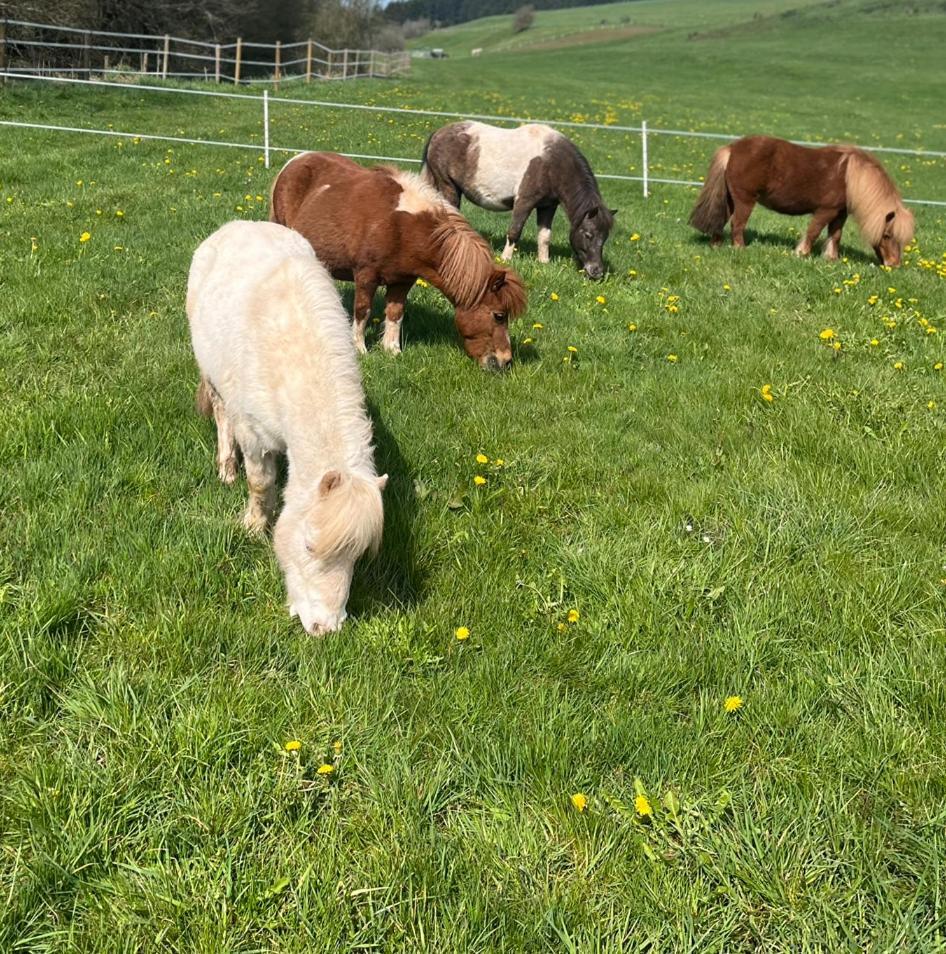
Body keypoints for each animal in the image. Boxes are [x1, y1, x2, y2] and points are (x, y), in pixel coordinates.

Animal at [186, 220, 386, 636]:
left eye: (356, 557)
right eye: (309, 546)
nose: (326, 627)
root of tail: (235, 225)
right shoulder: (253, 435)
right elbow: (260, 484)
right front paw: (253, 525)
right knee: (221, 414)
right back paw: (227, 467)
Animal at [270, 152, 528, 368]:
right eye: (499, 315)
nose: (506, 361)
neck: (404, 228)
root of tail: (294, 162)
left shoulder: (402, 281)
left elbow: (395, 313)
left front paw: (392, 350)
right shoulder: (366, 275)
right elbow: (362, 311)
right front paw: (360, 349)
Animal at [422, 121, 616, 278]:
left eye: (605, 237)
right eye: (588, 234)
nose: (597, 272)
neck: (552, 162)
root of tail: (438, 133)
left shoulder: (548, 206)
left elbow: (544, 236)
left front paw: (543, 262)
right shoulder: (524, 201)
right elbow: (515, 231)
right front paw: (505, 260)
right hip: (448, 185)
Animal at [684, 136, 916, 266]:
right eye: (887, 235)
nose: (894, 264)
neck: (849, 176)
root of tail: (732, 148)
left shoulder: (839, 213)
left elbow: (835, 235)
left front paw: (831, 259)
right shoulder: (825, 210)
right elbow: (814, 231)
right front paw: (801, 253)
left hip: (731, 199)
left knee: (722, 219)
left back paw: (716, 245)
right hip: (745, 200)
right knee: (737, 224)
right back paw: (740, 249)